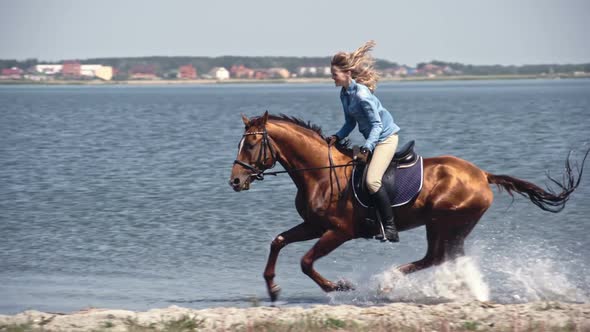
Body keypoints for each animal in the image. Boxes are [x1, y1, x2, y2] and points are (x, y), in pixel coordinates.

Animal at [229, 110, 588, 302]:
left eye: (251, 144)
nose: (234, 181)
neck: (320, 173)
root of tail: (482, 175)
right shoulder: (314, 225)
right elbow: (278, 241)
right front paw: (273, 288)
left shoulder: (339, 231)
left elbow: (305, 262)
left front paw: (338, 286)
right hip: (444, 225)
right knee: (439, 258)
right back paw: (394, 282)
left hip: (447, 221)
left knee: (440, 257)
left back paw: (389, 282)